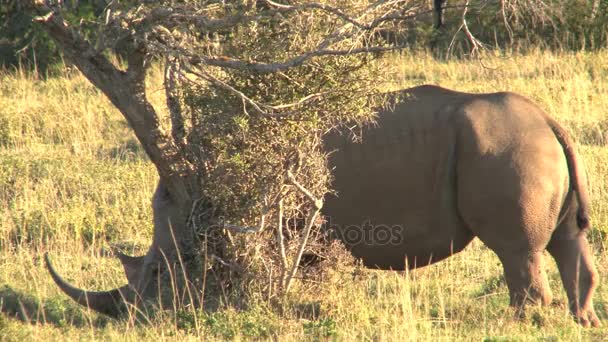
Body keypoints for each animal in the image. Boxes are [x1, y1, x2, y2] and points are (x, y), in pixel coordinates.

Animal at [46, 85, 600, 326]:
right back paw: (581, 323)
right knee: (565, 240)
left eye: (163, 274)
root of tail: (547, 118)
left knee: (517, 252)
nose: (134, 319)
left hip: (507, 150)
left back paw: (520, 326)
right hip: (525, 146)